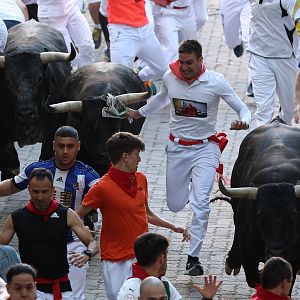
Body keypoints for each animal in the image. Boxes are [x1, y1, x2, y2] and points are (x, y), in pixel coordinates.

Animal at [219, 123, 300, 292]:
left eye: (293, 214)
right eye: (259, 215)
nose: (277, 251)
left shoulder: (295, 258)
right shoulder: (248, 257)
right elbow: (255, 280)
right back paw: (232, 261)